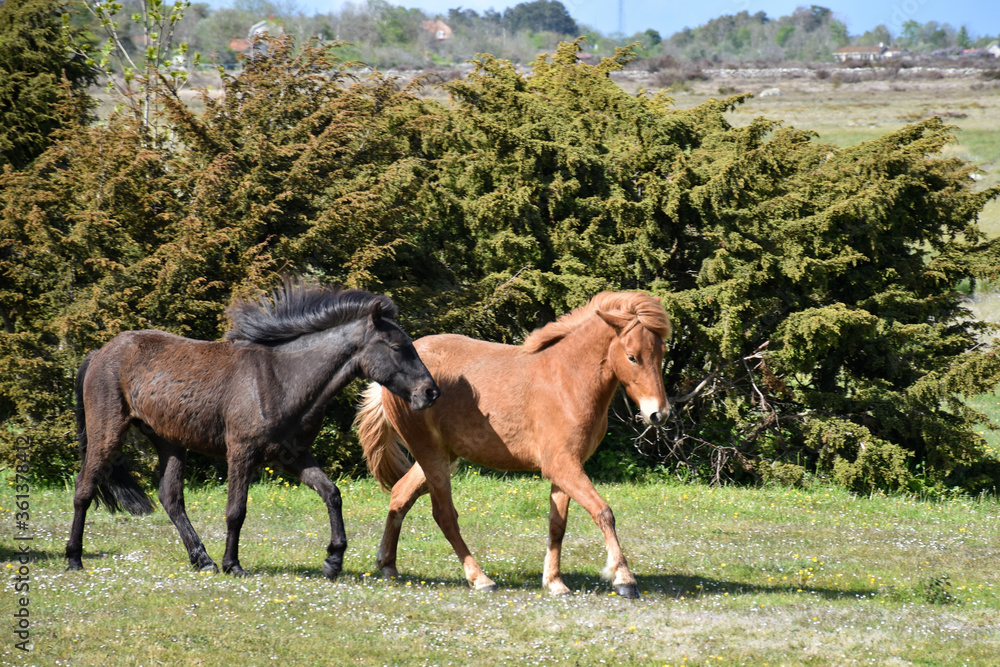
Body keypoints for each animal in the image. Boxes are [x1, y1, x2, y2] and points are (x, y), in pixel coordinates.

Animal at [67, 278, 440, 579]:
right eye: (397, 347)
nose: (430, 392)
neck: (281, 379)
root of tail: (100, 352)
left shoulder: (293, 457)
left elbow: (332, 493)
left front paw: (333, 560)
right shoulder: (242, 452)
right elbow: (236, 511)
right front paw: (233, 565)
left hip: (169, 442)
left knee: (171, 499)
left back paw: (202, 560)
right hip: (107, 433)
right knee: (84, 488)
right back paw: (74, 558)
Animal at [356, 291, 671, 598]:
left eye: (661, 353)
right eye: (632, 357)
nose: (659, 414)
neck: (567, 380)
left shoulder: (566, 469)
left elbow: (557, 524)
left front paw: (554, 582)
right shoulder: (563, 466)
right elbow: (603, 512)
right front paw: (624, 579)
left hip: (441, 457)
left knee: (400, 495)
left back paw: (388, 566)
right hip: (431, 455)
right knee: (444, 515)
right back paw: (480, 579)